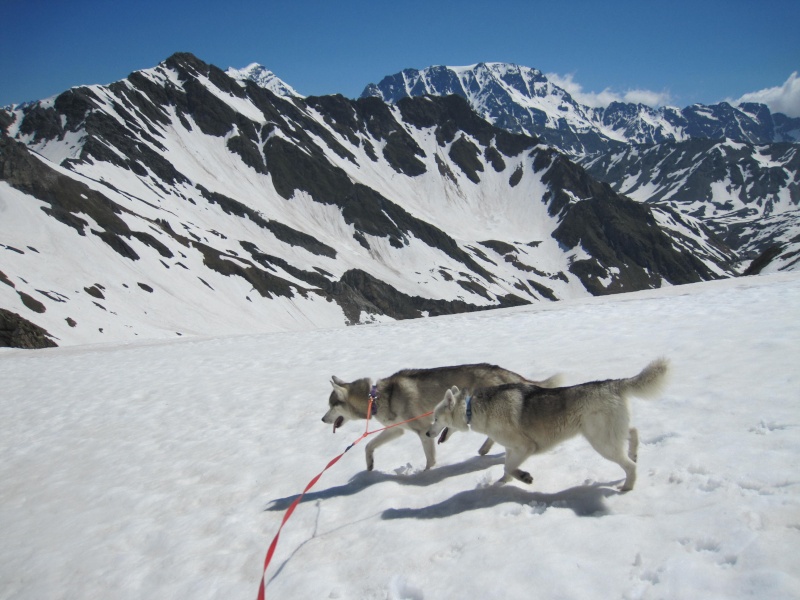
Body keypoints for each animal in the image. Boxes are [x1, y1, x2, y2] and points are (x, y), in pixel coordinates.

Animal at [322, 364, 560, 472]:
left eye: (331, 405)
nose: (323, 420)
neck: (376, 396)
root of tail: (501, 370)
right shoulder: (397, 429)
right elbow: (368, 445)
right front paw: (370, 465)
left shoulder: (422, 430)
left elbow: (430, 459)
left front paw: (426, 474)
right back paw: (484, 449)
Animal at [424, 358, 668, 490]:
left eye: (435, 418)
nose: (427, 433)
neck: (472, 408)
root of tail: (613, 384)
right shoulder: (512, 449)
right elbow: (506, 468)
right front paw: (501, 483)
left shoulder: (526, 447)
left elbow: (509, 467)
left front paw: (524, 477)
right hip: (609, 433)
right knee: (633, 432)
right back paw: (634, 453)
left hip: (602, 442)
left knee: (630, 466)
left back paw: (626, 487)